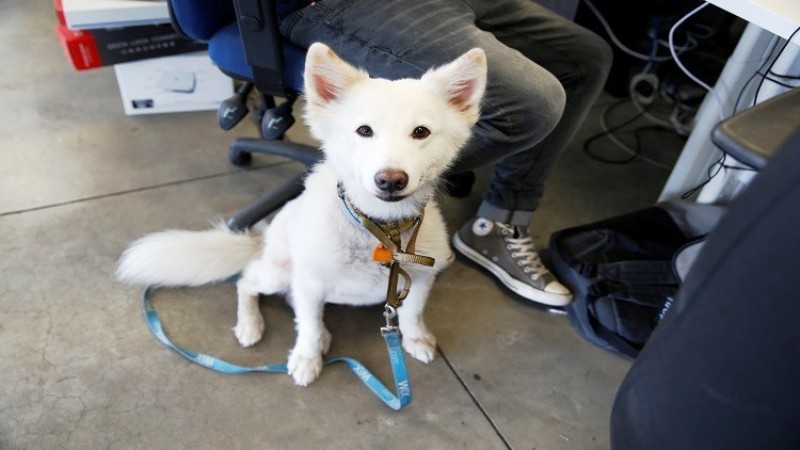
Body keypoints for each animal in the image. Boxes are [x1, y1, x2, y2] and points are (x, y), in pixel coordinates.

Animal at [116, 43, 487, 386]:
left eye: (421, 132)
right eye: (364, 130)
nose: (391, 180)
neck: (379, 230)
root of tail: (263, 240)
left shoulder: (422, 277)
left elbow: (412, 314)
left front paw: (416, 339)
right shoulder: (309, 281)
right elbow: (306, 326)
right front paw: (306, 359)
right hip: (278, 272)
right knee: (247, 282)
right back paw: (251, 325)